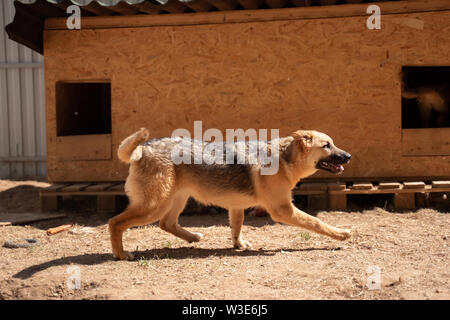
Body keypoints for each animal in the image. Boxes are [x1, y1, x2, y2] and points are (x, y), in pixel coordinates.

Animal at [108, 127, 352, 260]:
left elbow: (236, 228)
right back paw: (121, 255)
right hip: (153, 206)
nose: (348, 156)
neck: (284, 157)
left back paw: (193, 237)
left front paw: (239, 245)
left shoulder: (237, 207)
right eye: (327, 145)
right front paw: (341, 234)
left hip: (176, 200)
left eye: (333, 144)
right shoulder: (283, 210)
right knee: (115, 223)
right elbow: (317, 223)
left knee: (166, 223)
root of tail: (144, 147)